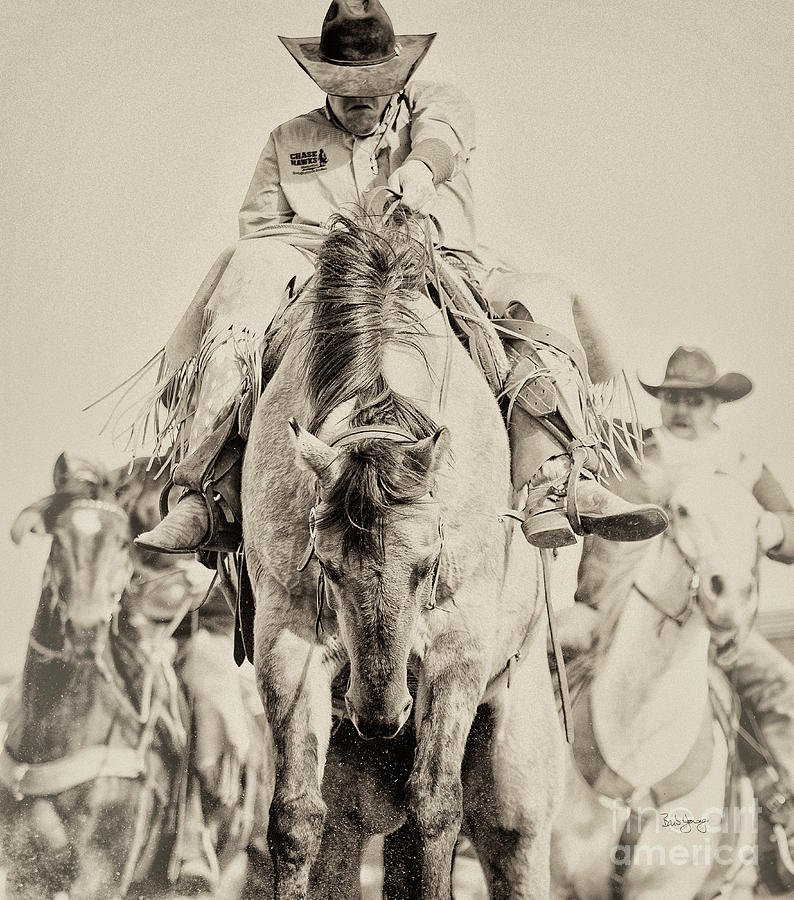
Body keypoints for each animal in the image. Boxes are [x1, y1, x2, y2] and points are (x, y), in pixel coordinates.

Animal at [0, 458, 272, 900]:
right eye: (60, 539)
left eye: (121, 544)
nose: (86, 627)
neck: (57, 734)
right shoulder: (21, 872)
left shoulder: (98, 876)